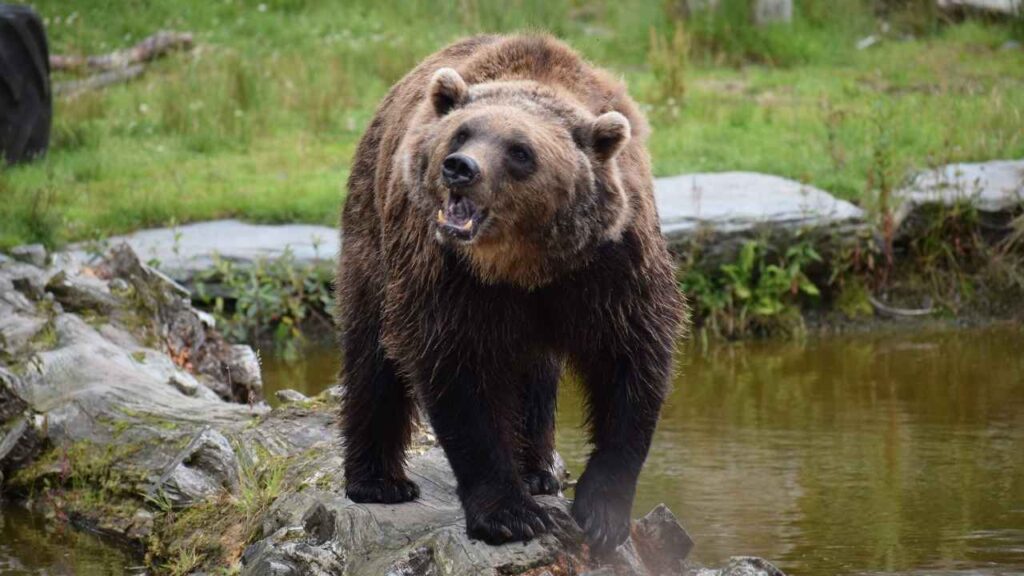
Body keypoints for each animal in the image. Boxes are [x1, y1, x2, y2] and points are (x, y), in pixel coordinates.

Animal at [336, 34, 687, 554]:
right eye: (462, 134)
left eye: (520, 151)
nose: (459, 168)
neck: (524, 263)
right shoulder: (448, 275)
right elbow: (461, 376)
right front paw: (510, 515)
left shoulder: (612, 267)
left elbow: (630, 362)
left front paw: (602, 514)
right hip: (374, 237)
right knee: (372, 354)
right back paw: (379, 481)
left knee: (535, 375)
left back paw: (539, 471)